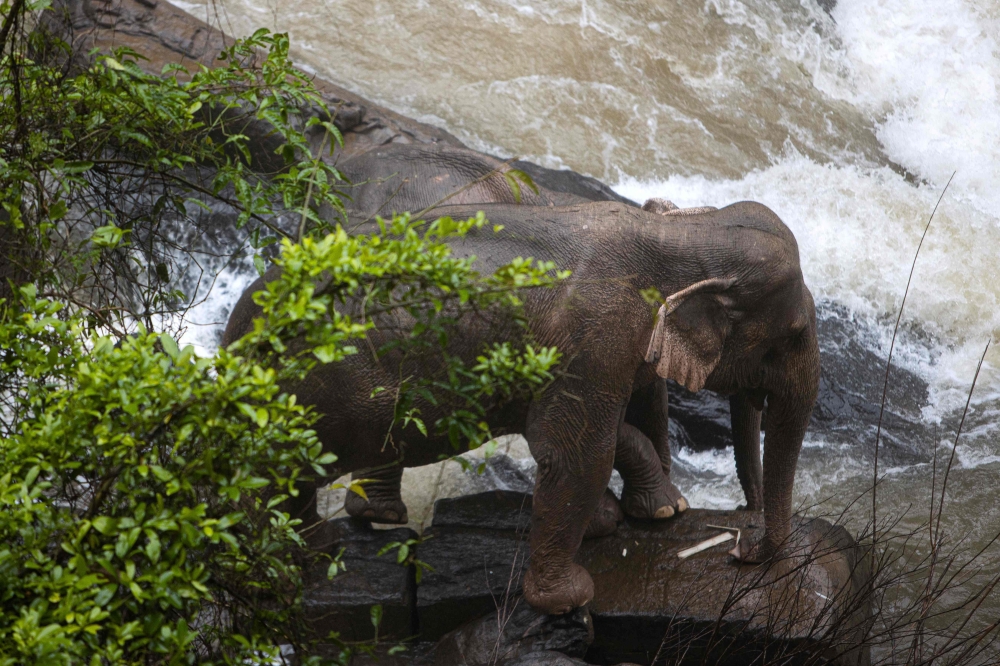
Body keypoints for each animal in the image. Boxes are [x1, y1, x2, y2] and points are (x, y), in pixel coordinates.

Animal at [223, 199, 820, 615]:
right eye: (792, 334)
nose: (740, 549)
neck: (680, 235)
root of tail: (237, 329)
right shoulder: (595, 335)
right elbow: (574, 451)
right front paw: (571, 597)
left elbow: (602, 430)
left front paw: (643, 514)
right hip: (328, 385)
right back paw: (297, 558)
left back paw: (346, 532)